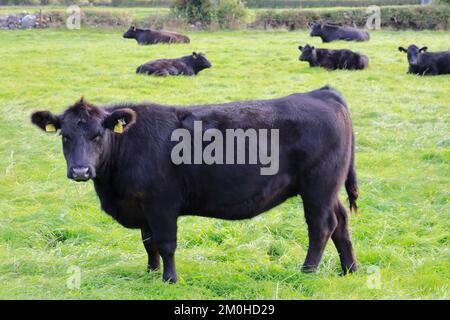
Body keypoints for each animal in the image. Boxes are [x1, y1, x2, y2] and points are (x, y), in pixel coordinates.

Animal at [29, 85, 360, 282]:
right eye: (65, 136)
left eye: (98, 135)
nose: (80, 170)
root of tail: (323, 93)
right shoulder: (143, 207)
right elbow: (148, 243)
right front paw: (151, 273)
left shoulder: (161, 204)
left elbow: (165, 243)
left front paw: (169, 279)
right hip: (329, 188)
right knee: (341, 222)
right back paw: (350, 269)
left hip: (318, 186)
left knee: (321, 227)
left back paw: (307, 272)